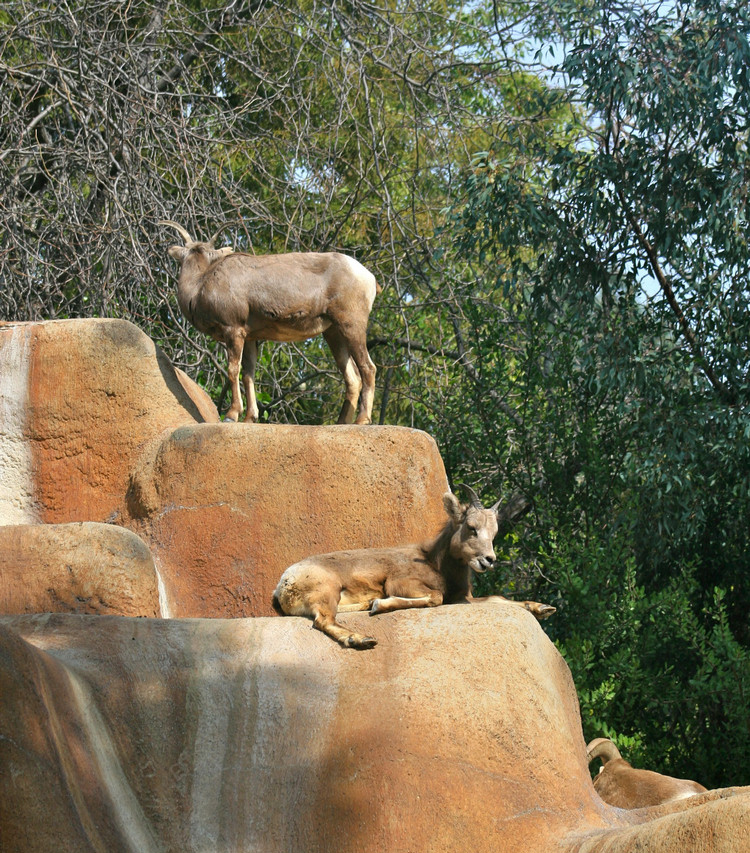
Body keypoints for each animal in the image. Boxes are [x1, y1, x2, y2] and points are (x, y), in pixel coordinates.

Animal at [159, 221, 382, 424]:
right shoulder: (249, 337)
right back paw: (341, 422)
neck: (200, 286)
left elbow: (233, 370)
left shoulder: (233, 330)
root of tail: (369, 278)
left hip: (351, 324)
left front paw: (232, 415)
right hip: (333, 333)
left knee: (368, 368)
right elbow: (248, 374)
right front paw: (250, 418)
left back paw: (362, 420)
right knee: (352, 377)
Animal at [274, 482, 556, 648]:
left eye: (494, 533)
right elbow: (435, 597)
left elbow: (498, 598)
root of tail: (283, 585)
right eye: (471, 527)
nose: (488, 560)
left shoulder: (464, 598)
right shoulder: (402, 583)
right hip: (327, 591)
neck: (435, 563)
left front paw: (542, 608)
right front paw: (380, 605)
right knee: (323, 620)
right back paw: (363, 638)